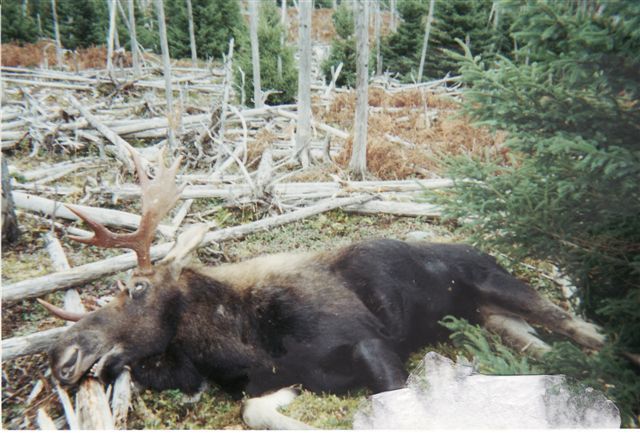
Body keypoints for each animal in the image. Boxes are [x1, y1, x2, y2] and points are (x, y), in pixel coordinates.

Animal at [39, 148, 610, 429]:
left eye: (136, 287)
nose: (60, 354)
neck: (239, 341)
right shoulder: (268, 382)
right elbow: (255, 410)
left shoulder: (370, 341)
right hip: (491, 321)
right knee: (544, 349)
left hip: (501, 284)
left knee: (585, 329)